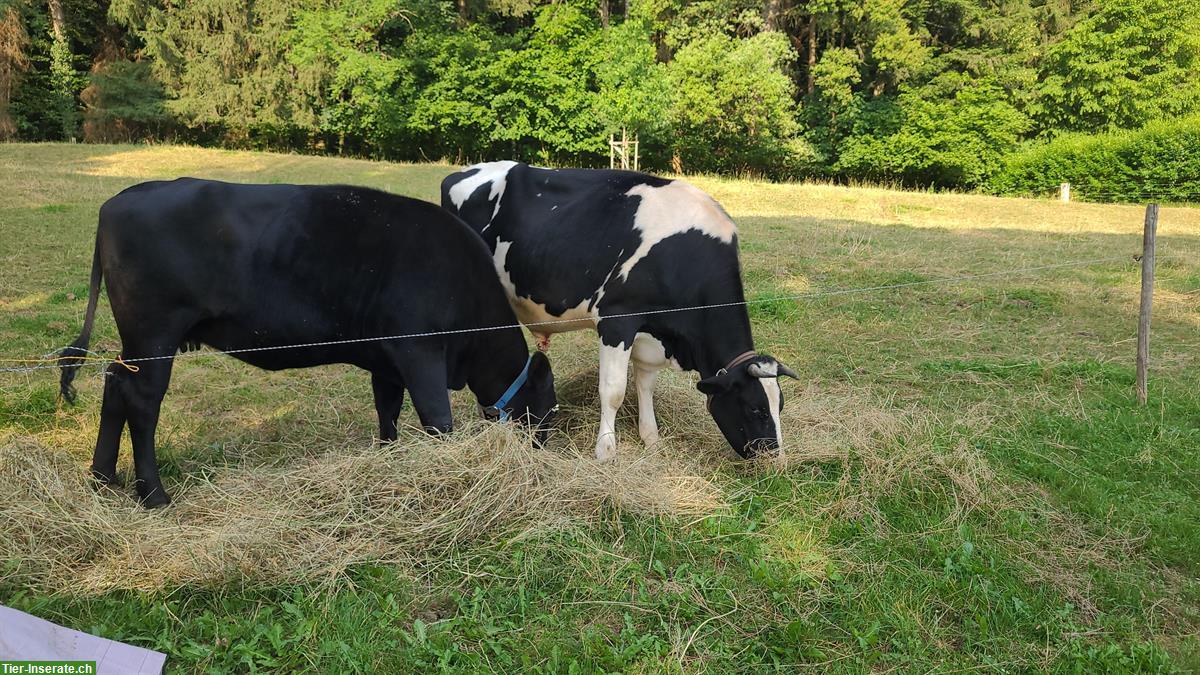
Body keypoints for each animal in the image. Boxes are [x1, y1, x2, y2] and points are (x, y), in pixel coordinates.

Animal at [60, 178, 556, 504]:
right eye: (546, 408)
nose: (542, 453)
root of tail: (123, 197)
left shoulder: (387, 359)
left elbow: (388, 412)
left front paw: (389, 460)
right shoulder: (420, 351)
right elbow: (438, 421)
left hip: (137, 343)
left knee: (115, 384)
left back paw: (102, 479)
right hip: (155, 334)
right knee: (143, 403)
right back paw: (153, 495)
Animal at [441, 159, 796, 458]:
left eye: (779, 406)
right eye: (755, 408)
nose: (773, 458)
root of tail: (463, 171)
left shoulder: (652, 331)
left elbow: (645, 386)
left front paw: (650, 438)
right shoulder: (616, 321)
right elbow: (613, 390)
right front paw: (605, 450)